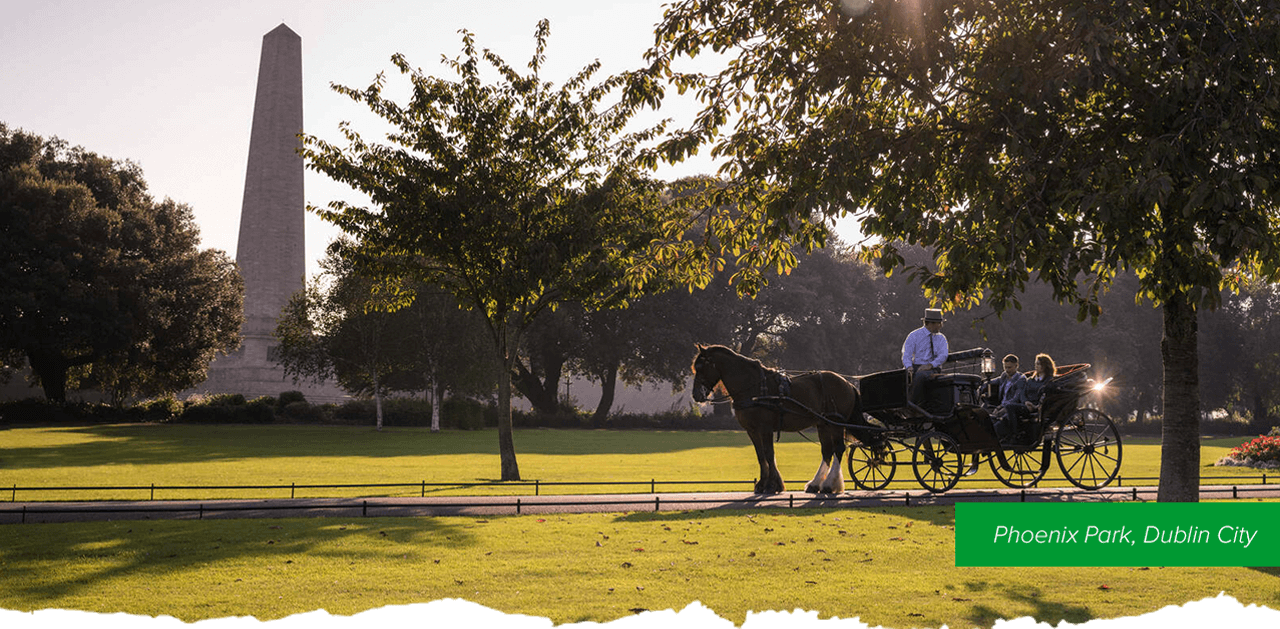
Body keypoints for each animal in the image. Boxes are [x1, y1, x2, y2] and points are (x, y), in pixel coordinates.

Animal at [691, 345, 860, 494]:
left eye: (701, 367)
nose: (695, 394)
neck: (754, 387)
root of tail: (847, 382)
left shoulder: (765, 428)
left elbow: (769, 453)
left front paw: (771, 485)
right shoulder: (752, 430)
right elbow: (760, 455)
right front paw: (763, 483)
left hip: (836, 423)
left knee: (838, 449)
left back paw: (829, 485)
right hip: (823, 424)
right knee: (827, 451)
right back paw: (815, 484)